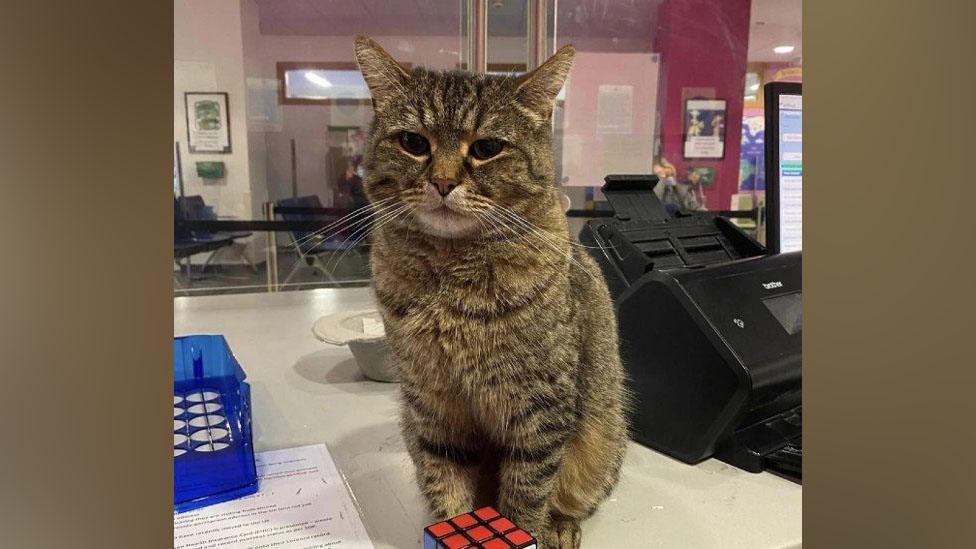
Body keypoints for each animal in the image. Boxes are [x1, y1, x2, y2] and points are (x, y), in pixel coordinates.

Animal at [354, 36, 628, 544]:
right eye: (414, 143)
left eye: (486, 148)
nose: (443, 182)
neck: (450, 273)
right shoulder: (432, 406)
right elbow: (447, 487)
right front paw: (449, 523)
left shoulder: (540, 408)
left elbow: (525, 496)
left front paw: (526, 527)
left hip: (601, 439)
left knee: (569, 495)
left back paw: (560, 526)